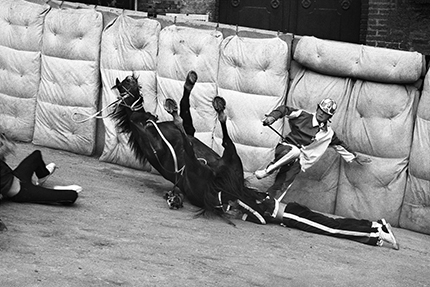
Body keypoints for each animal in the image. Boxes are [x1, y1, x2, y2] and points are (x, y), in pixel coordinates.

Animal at [111, 71, 264, 222]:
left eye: (126, 83)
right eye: (123, 85)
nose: (130, 78)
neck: (149, 125)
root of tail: (221, 192)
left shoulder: (188, 129)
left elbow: (184, 106)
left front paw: (190, 81)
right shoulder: (156, 145)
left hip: (230, 162)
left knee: (223, 141)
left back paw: (217, 107)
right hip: (202, 166)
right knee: (200, 146)